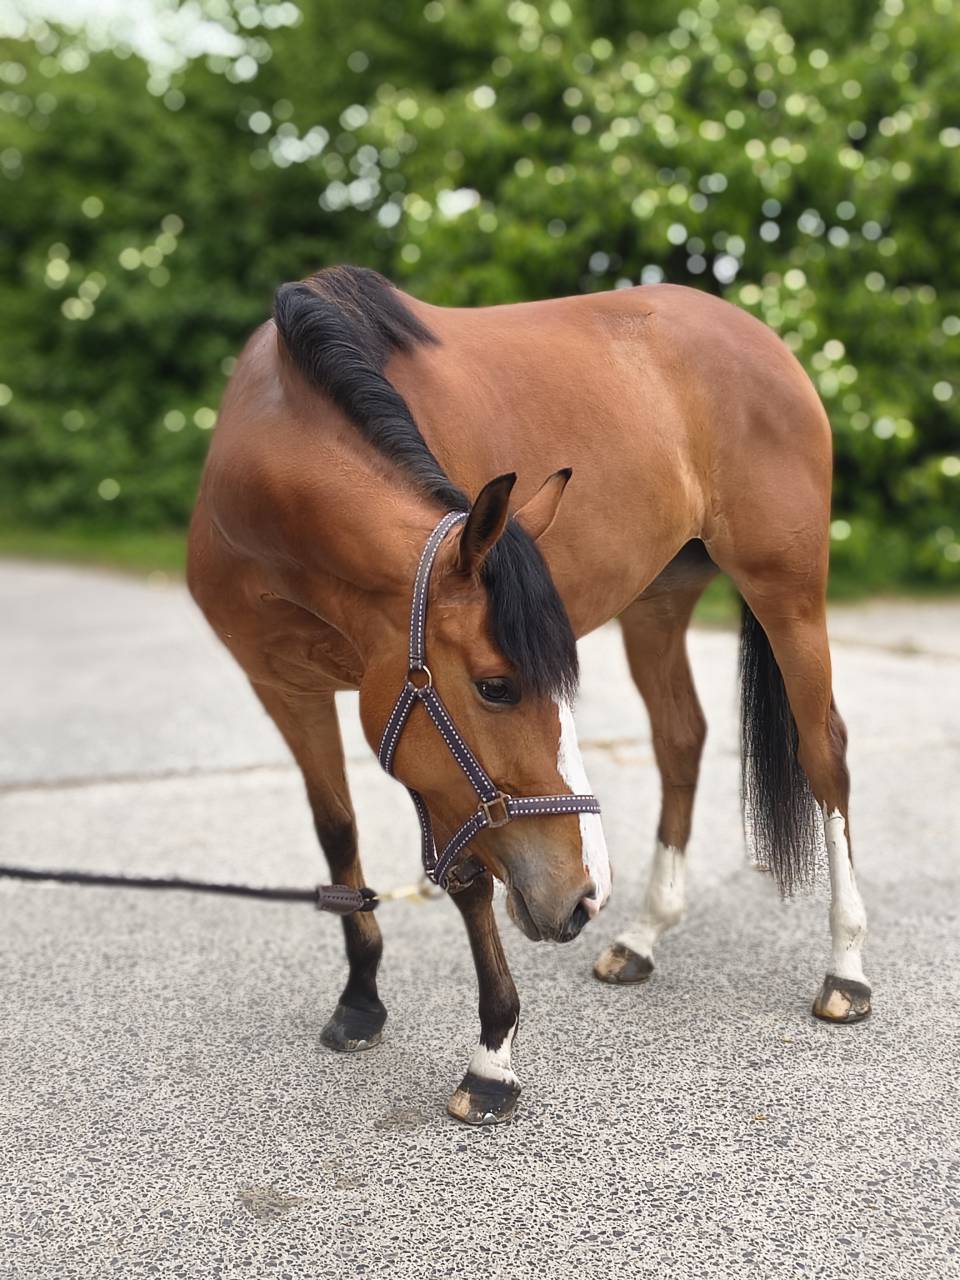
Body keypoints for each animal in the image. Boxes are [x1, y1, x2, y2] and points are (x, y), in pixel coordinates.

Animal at [187, 266, 870, 1126]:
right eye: (497, 687)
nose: (584, 896)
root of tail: (759, 335)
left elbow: (469, 879)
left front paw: (491, 1060)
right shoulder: (285, 687)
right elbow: (337, 832)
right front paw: (361, 999)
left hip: (788, 592)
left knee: (824, 753)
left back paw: (846, 969)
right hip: (658, 601)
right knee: (681, 740)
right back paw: (643, 938)